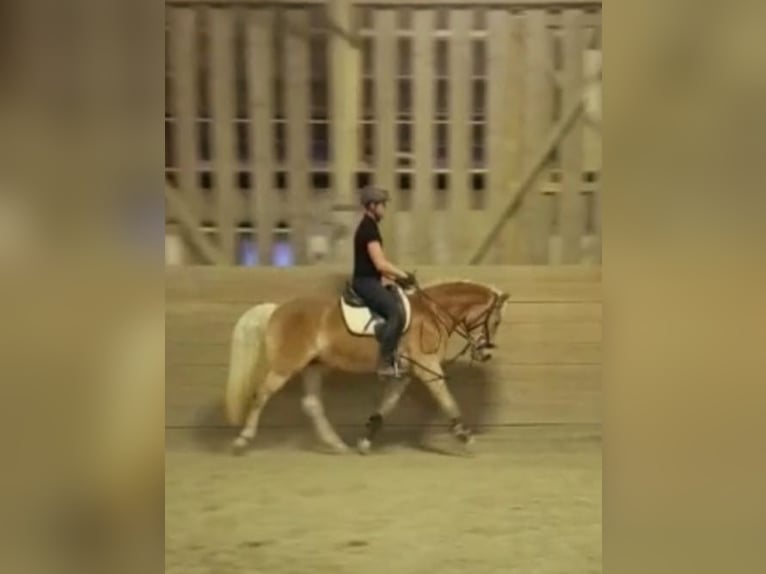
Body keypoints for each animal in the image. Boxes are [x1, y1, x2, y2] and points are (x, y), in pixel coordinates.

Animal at [224, 280, 510, 454]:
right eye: (495, 321)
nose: (485, 353)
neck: (432, 315)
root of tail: (277, 309)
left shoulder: (403, 375)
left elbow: (386, 406)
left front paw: (364, 441)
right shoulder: (428, 367)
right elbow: (447, 401)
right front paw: (465, 436)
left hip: (313, 366)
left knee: (312, 405)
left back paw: (337, 445)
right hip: (286, 365)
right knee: (261, 395)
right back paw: (242, 440)